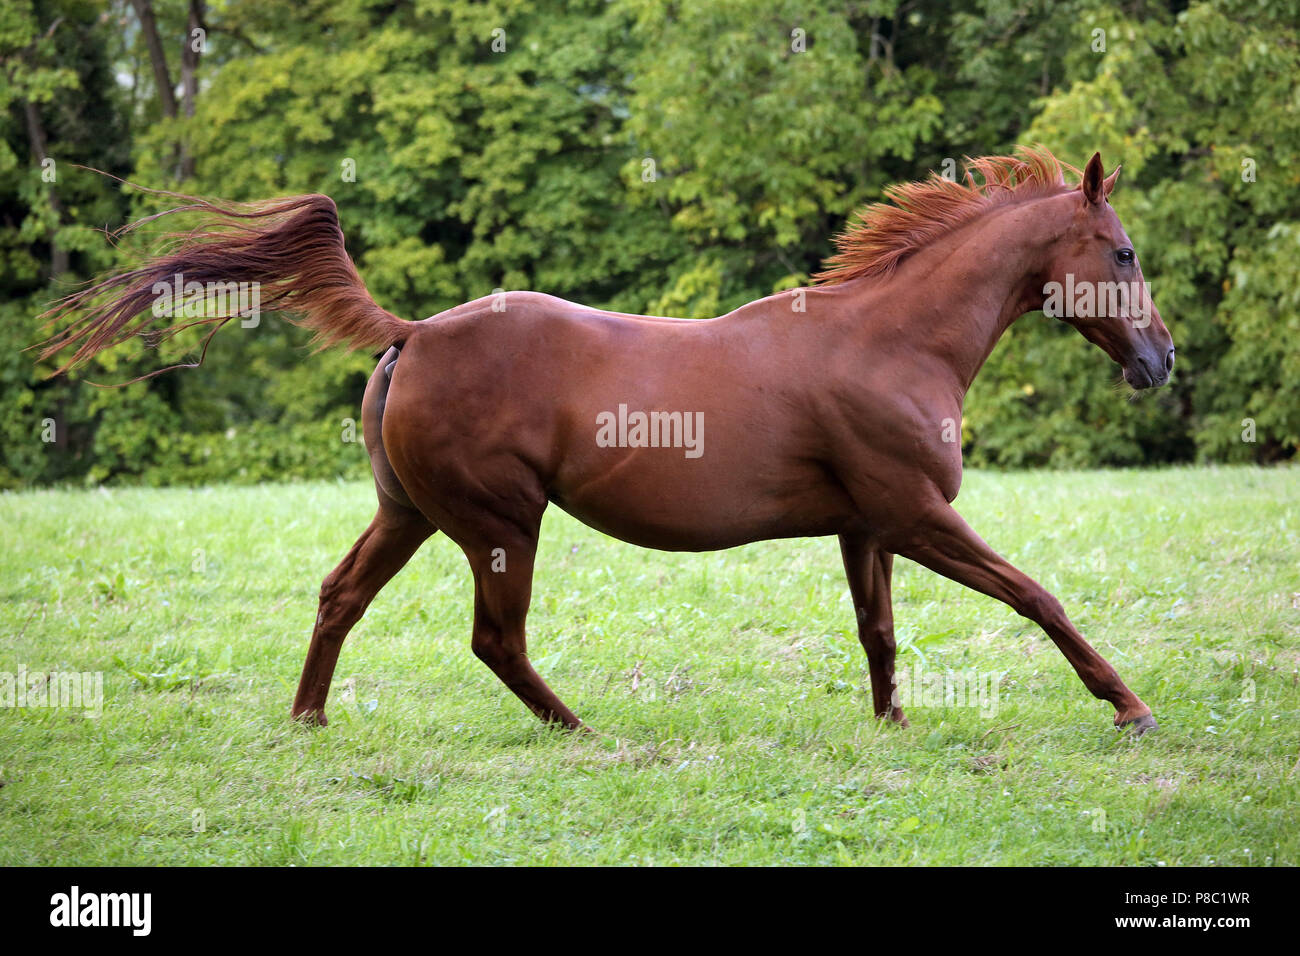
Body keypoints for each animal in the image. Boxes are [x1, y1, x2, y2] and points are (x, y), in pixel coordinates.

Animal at [45, 147, 1175, 733]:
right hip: (501, 523)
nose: (1160, 359)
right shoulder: (916, 513)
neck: (889, 341)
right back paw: (580, 729)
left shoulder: (868, 526)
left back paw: (310, 721)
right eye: (1121, 251)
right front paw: (1128, 706)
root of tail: (415, 332)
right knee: (493, 639)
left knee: (340, 596)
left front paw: (890, 729)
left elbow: (879, 632)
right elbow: (1035, 594)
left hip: (410, 513)